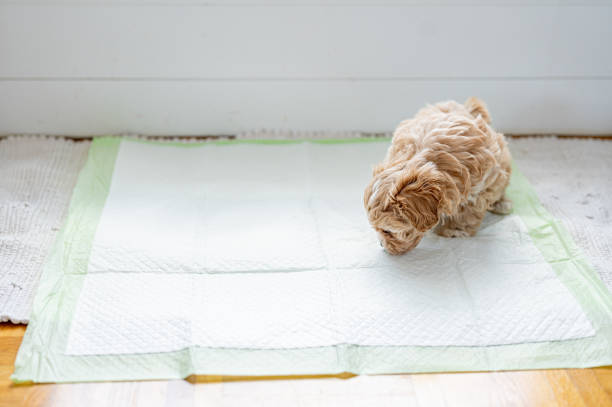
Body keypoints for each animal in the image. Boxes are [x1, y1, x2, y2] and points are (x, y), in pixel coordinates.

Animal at [366, 97, 512, 253]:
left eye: (387, 231)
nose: (382, 245)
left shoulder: (486, 179)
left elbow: (470, 210)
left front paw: (454, 230)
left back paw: (501, 203)